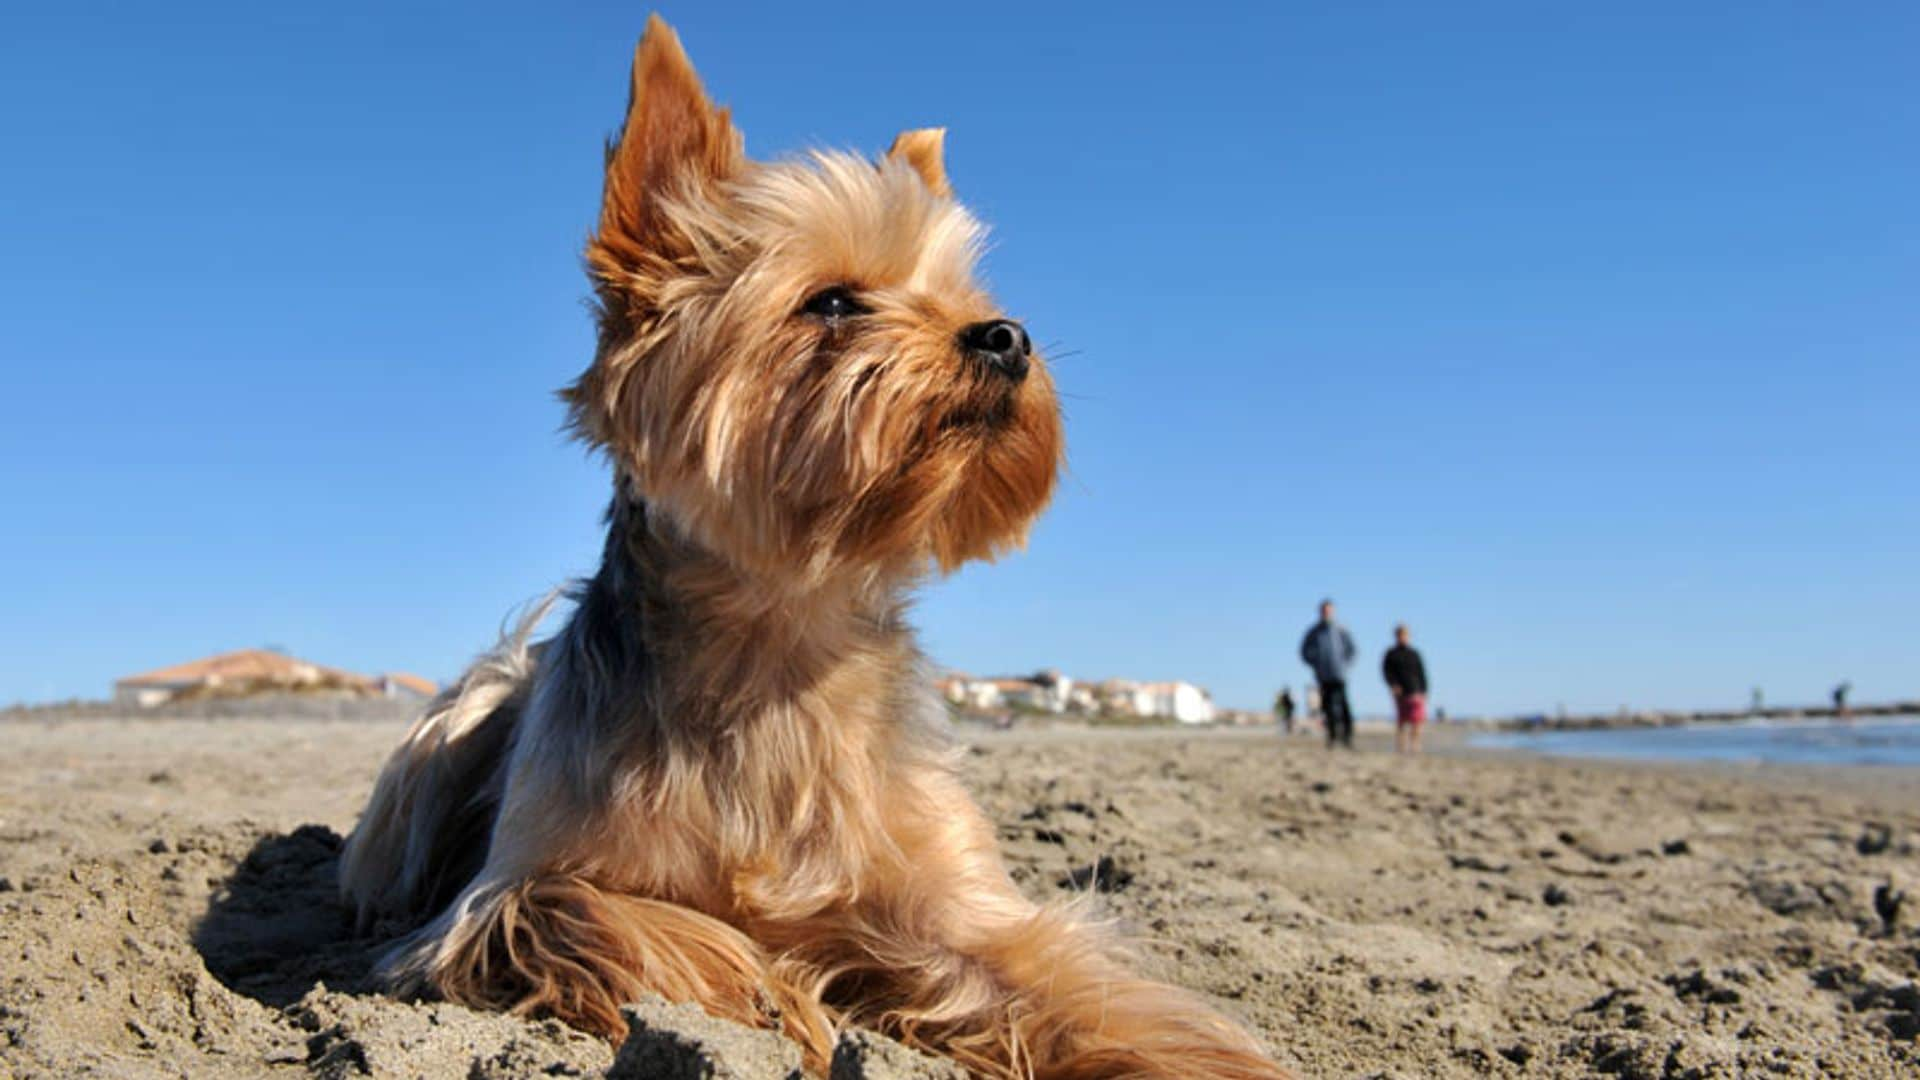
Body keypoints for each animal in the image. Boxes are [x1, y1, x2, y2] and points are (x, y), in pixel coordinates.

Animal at [337, 16, 1282, 1076]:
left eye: (966, 297)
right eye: (831, 303)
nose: (1005, 336)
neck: (782, 639)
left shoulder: (958, 903)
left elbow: (1082, 994)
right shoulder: (508, 894)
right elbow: (608, 915)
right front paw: (780, 986)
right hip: (463, 713)